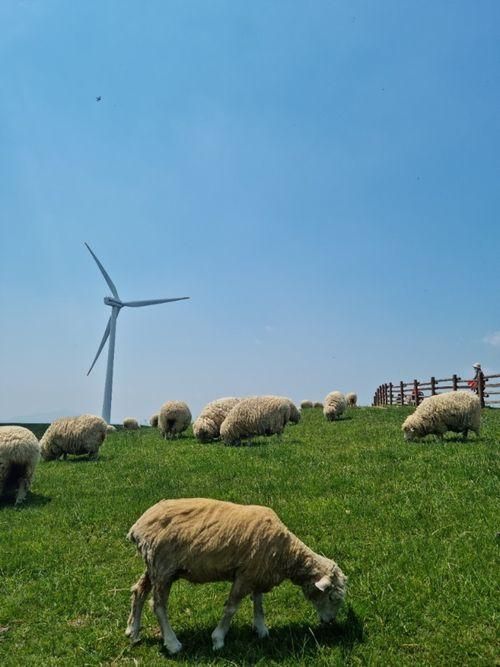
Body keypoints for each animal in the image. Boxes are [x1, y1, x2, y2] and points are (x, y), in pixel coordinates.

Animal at [125, 498, 346, 656]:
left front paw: (261, 629)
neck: (286, 553)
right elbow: (231, 608)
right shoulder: (245, 575)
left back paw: (132, 631)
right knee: (158, 606)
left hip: (154, 566)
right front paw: (218, 639)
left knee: (139, 591)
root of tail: (137, 528)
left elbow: (259, 602)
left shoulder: (258, 571)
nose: (330, 622)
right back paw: (172, 644)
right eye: (332, 597)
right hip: (164, 568)